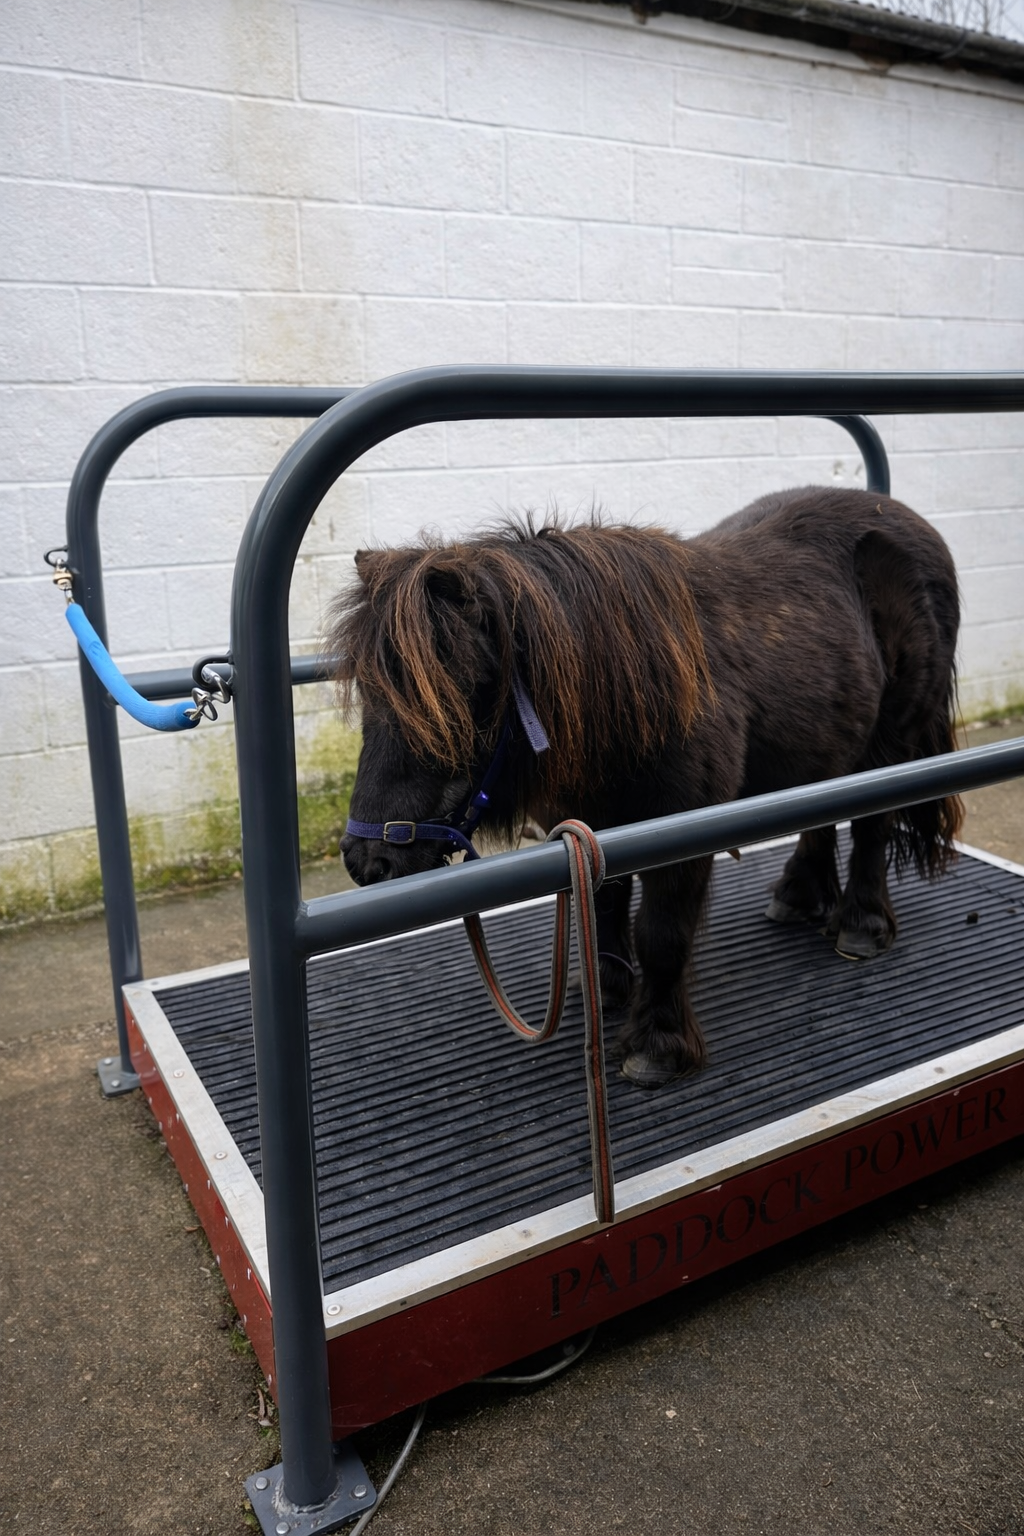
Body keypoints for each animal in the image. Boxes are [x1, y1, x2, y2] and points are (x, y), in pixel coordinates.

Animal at [329, 486, 962, 1089]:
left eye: (461, 691)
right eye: (369, 690)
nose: (367, 860)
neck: (641, 686)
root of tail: (907, 520)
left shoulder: (681, 832)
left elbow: (661, 932)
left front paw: (656, 1046)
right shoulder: (596, 823)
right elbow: (604, 904)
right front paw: (607, 988)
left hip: (893, 740)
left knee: (872, 825)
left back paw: (860, 925)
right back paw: (800, 896)